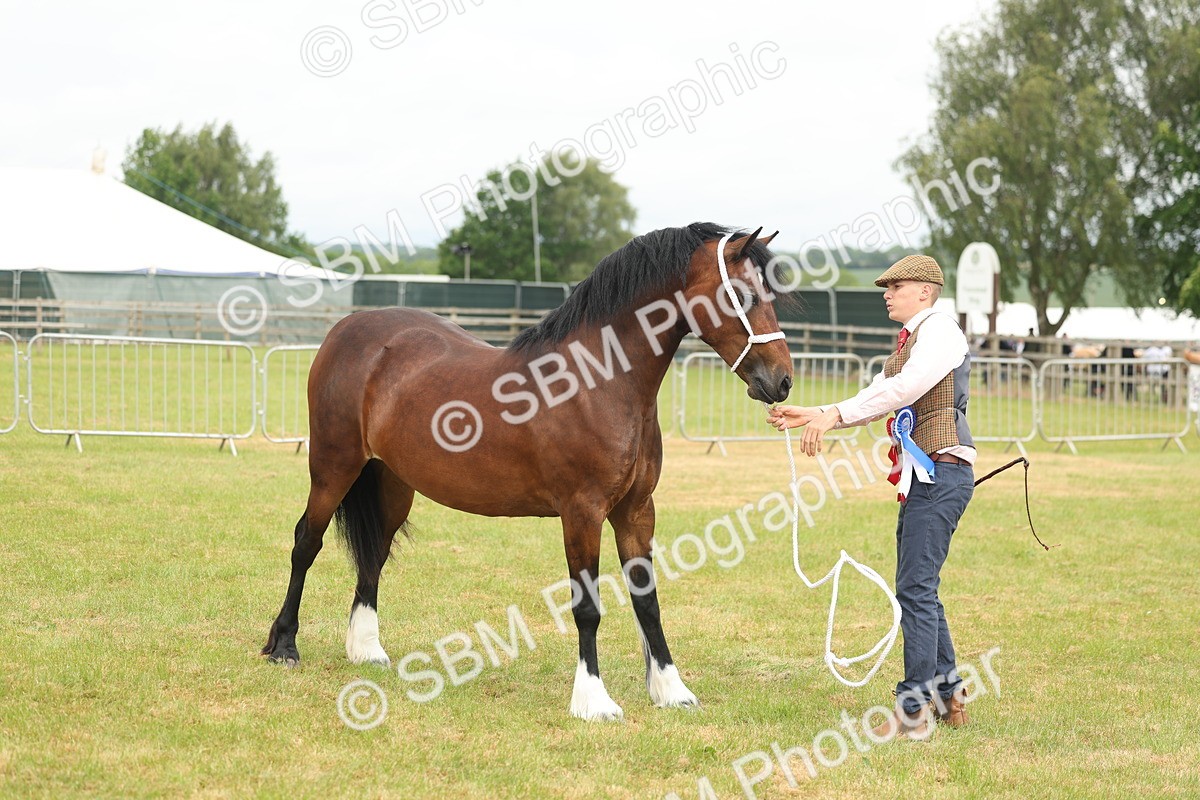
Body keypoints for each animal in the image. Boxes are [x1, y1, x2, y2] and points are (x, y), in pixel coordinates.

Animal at [261, 222, 795, 720]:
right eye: (742, 294)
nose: (782, 381)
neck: (598, 384)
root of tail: (348, 328)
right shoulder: (582, 513)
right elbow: (587, 607)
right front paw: (593, 700)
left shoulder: (637, 511)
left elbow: (647, 599)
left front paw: (670, 690)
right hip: (333, 467)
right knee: (306, 542)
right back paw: (284, 645)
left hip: (392, 484)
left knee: (373, 555)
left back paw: (367, 649)